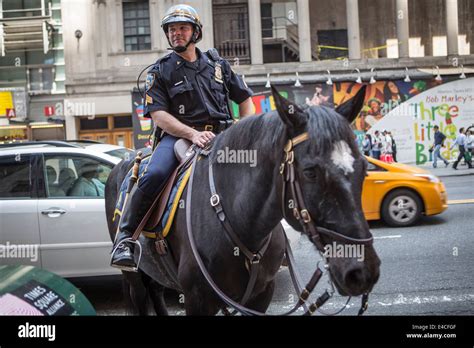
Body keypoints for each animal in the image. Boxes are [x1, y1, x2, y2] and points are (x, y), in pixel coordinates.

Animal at [104, 87, 382, 316]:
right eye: (310, 172)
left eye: (364, 168)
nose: (362, 272)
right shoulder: (196, 299)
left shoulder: (261, 296)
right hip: (134, 278)